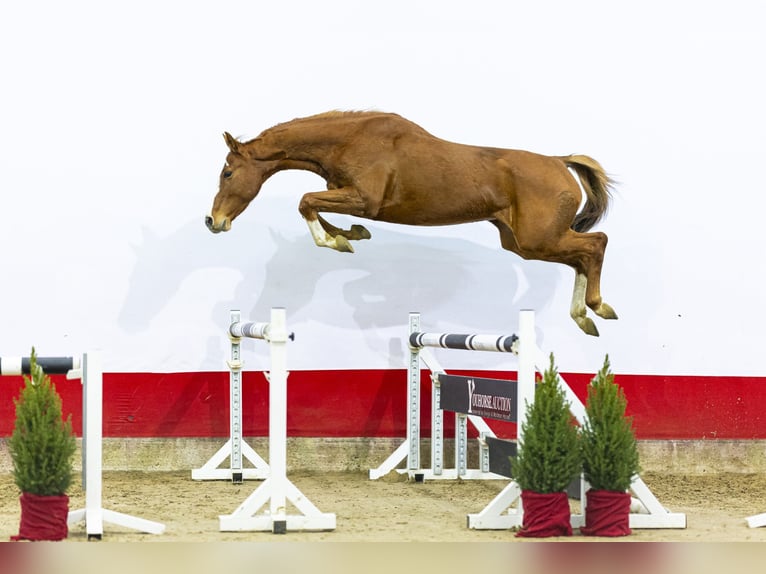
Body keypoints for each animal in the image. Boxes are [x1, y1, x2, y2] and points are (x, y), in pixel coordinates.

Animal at [205, 111, 617, 336]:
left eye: (228, 173)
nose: (213, 221)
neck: (348, 141)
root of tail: (559, 161)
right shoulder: (345, 195)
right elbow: (316, 207)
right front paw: (349, 236)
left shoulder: (365, 200)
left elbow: (306, 202)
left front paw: (336, 240)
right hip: (521, 242)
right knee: (581, 258)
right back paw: (583, 317)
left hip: (537, 239)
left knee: (596, 243)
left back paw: (598, 307)